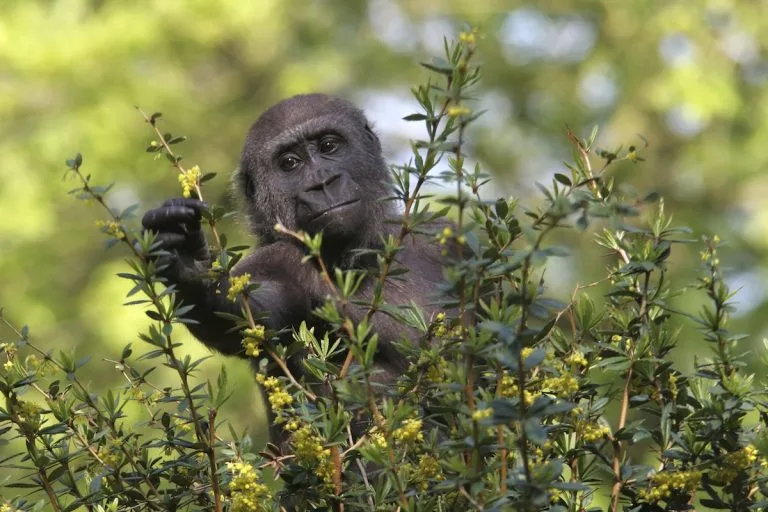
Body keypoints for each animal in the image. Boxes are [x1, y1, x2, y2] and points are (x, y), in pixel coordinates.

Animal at [141, 94, 451, 441]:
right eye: (290, 163)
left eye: (329, 145)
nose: (322, 183)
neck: (365, 258)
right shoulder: (276, 263)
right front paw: (190, 266)